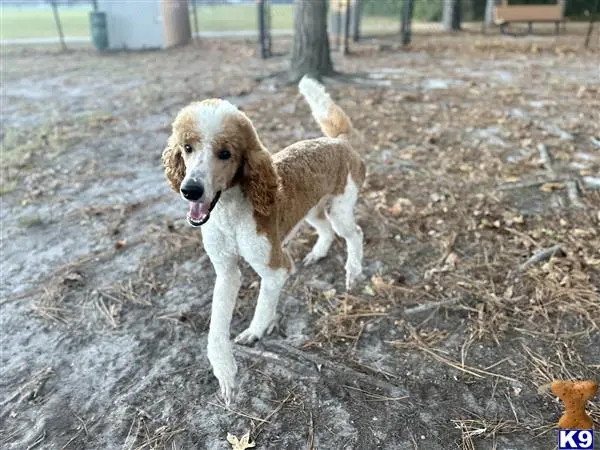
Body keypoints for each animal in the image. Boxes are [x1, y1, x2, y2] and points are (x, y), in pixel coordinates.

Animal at [162, 75, 364, 402]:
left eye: (225, 153)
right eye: (187, 147)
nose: (190, 190)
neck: (230, 213)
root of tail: (339, 142)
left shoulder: (274, 268)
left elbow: (264, 305)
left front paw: (256, 331)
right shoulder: (226, 271)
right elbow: (216, 328)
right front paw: (225, 372)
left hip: (341, 209)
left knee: (354, 234)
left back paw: (353, 273)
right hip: (311, 210)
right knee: (326, 231)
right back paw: (318, 253)